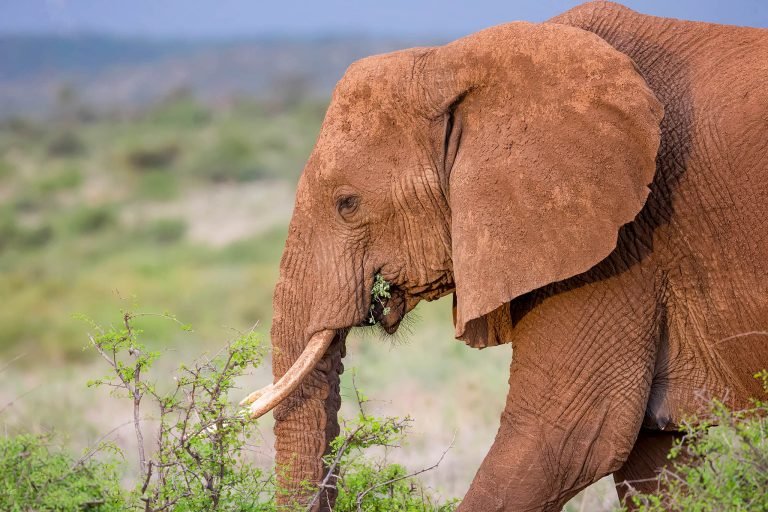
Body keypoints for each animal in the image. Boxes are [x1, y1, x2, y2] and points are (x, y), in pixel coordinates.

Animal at [241, 2, 768, 510]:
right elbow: (656, 463)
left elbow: (561, 440)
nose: (245, 400)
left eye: (347, 204)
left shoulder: (619, 249)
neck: (454, 62)